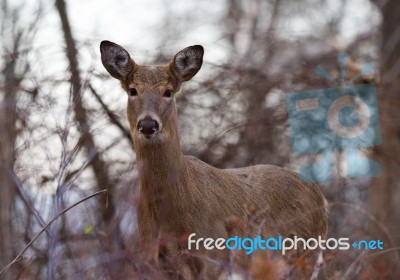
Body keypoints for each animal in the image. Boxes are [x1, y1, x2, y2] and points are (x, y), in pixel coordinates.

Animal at [100, 40, 328, 278]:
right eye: (133, 90)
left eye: (168, 92)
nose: (147, 124)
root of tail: (321, 198)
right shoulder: (154, 259)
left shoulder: (214, 254)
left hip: (302, 253)